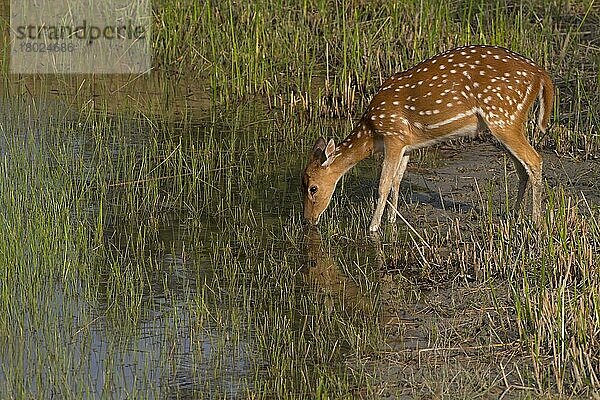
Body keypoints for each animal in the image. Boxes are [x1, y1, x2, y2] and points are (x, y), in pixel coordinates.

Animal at [302, 45, 556, 231]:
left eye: (313, 188)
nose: (308, 220)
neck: (372, 134)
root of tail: (541, 74)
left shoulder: (394, 135)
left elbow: (383, 183)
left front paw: (373, 228)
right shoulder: (406, 145)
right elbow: (397, 181)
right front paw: (392, 221)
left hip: (502, 116)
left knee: (535, 160)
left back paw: (536, 221)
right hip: (505, 123)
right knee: (522, 167)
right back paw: (514, 214)